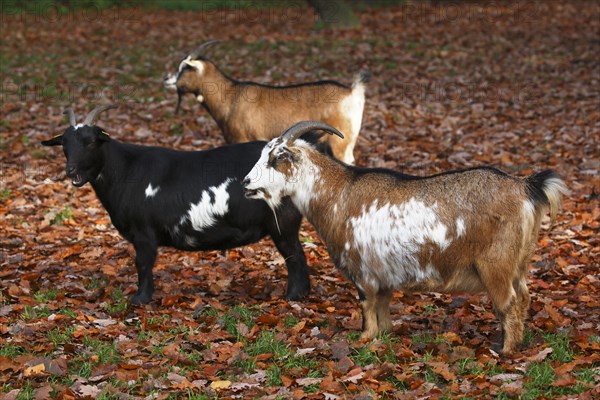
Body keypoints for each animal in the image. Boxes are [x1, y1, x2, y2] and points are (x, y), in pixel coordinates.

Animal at [42, 104, 312, 304]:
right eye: (64, 144)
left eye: (90, 141)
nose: (71, 171)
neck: (126, 170)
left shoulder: (143, 232)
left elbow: (143, 263)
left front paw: (140, 300)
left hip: (283, 223)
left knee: (295, 256)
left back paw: (293, 297)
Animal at [163, 40, 366, 164]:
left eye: (184, 68)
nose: (166, 79)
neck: (230, 96)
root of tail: (352, 91)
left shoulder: (241, 139)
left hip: (341, 143)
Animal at [243, 121, 568, 354]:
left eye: (276, 158)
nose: (245, 183)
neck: (338, 193)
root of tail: (524, 187)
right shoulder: (384, 273)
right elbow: (383, 305)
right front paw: (386, 335)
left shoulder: (363, 269)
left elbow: (367, 305)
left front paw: (365, 339)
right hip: (520, 263)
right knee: (524, 297)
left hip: (496, 264)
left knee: (509, 303)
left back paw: (505, 350)